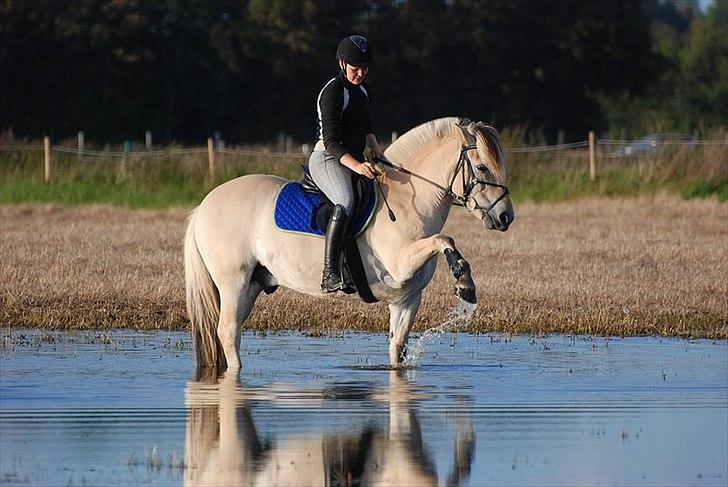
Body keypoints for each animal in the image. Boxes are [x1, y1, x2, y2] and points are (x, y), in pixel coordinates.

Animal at [185, 117, 516, 370]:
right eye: (482, 168)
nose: (505, 216)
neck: (408, 201)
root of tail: (203, 206)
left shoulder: (406, 299)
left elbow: (397, 348)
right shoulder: (401, 263)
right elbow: (444, 238)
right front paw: (464, 283)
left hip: (252, 286)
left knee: (228, 332)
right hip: (234, 282)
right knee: (227, 332)